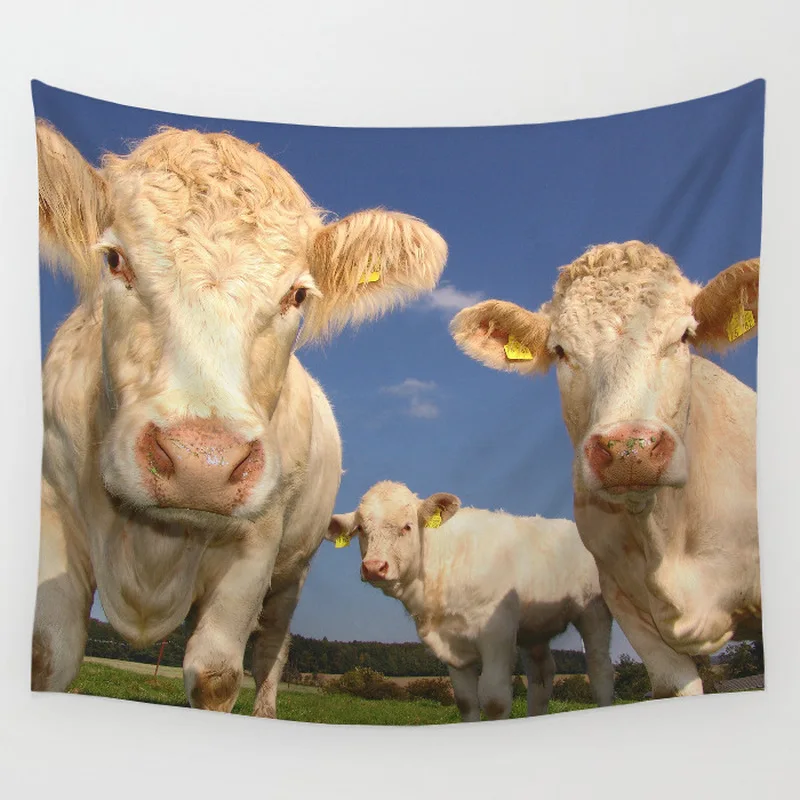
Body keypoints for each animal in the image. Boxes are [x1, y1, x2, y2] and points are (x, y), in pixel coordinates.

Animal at [32, 120, 447, 716]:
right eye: (113, 259)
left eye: (298, 294)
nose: (201, 463)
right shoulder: (53, 507)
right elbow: (48, 654)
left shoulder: (256, 549)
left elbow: (216, 675)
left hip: (291, 573)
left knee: (271, 651)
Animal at [326, 481, 615, 721]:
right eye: (361, 529)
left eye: (407, 526)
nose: (374, 567)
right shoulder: (452, 646)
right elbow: (466, 702)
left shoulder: (497, 634)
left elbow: (495, 701)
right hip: (534, 627)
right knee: (542, 675)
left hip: (595, 611)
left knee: (600, 670)